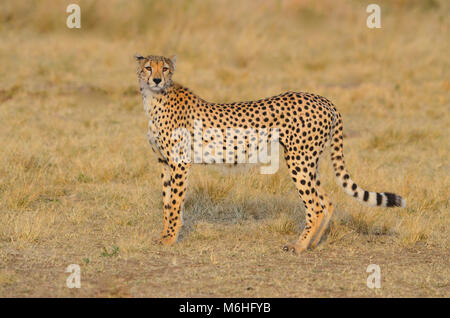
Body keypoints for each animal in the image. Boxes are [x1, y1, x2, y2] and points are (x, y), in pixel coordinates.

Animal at [134, 54, 404, 253]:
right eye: (148, 67)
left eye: (165, 68)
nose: (156, 79)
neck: (155, 100)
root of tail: (323, 99)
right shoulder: (164, 162)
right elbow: (166, 201)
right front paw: (163, 235)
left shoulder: (179, 163)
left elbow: (174, 203)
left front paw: (170, 239)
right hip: (309, 161)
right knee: (326, 201)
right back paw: (314, 243)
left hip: (298, 160)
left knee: (315, 205)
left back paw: (298, 246)